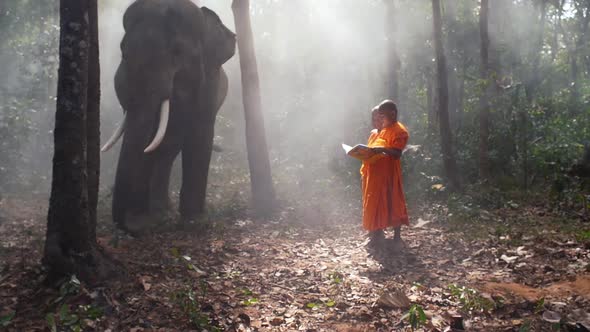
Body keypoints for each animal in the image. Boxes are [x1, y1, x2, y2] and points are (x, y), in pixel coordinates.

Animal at [102, 0, 236, 231]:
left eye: (177, 51)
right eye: (123, 52)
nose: (129, 226)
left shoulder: (209, 82)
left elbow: (200, 133)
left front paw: (194, 220)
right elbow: (149, 140)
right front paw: (143, 218)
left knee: (171, 148)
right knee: (165, 148)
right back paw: (160, 211)